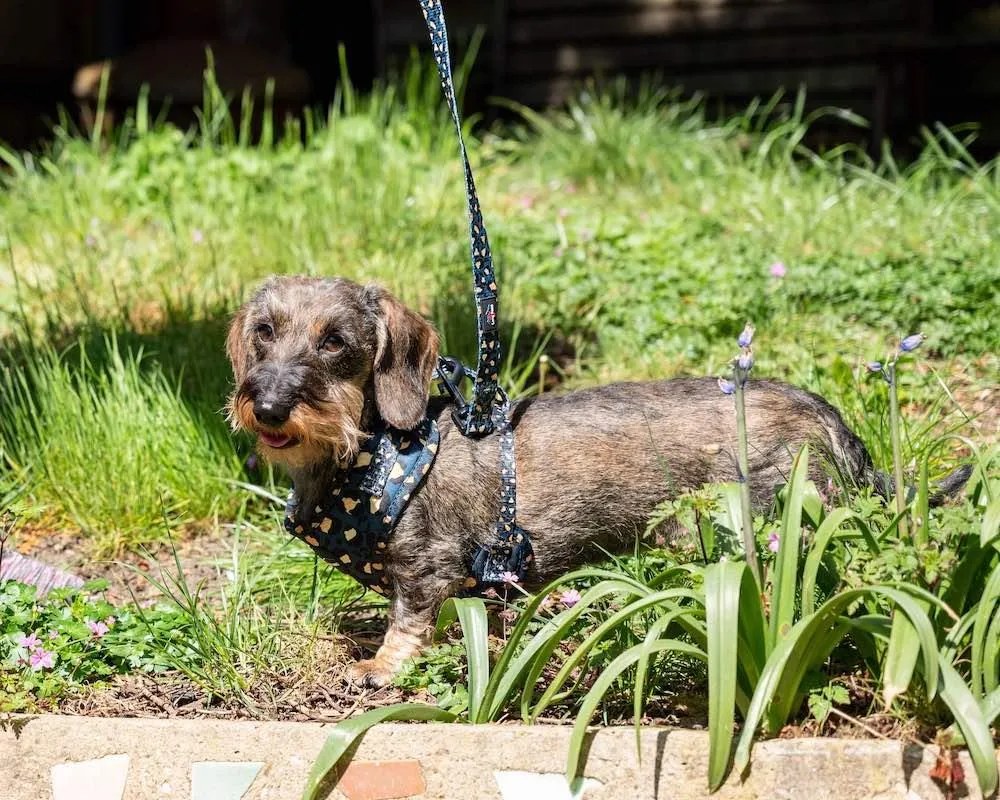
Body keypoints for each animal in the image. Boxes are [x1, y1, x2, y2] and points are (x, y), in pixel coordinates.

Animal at [229, 276, 968, 688]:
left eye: (334, 341)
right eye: (264, 331)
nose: (266, 405)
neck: (375, 452)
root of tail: (831, 420)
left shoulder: (427, 565)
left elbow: (407, 621)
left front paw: (380, 666)